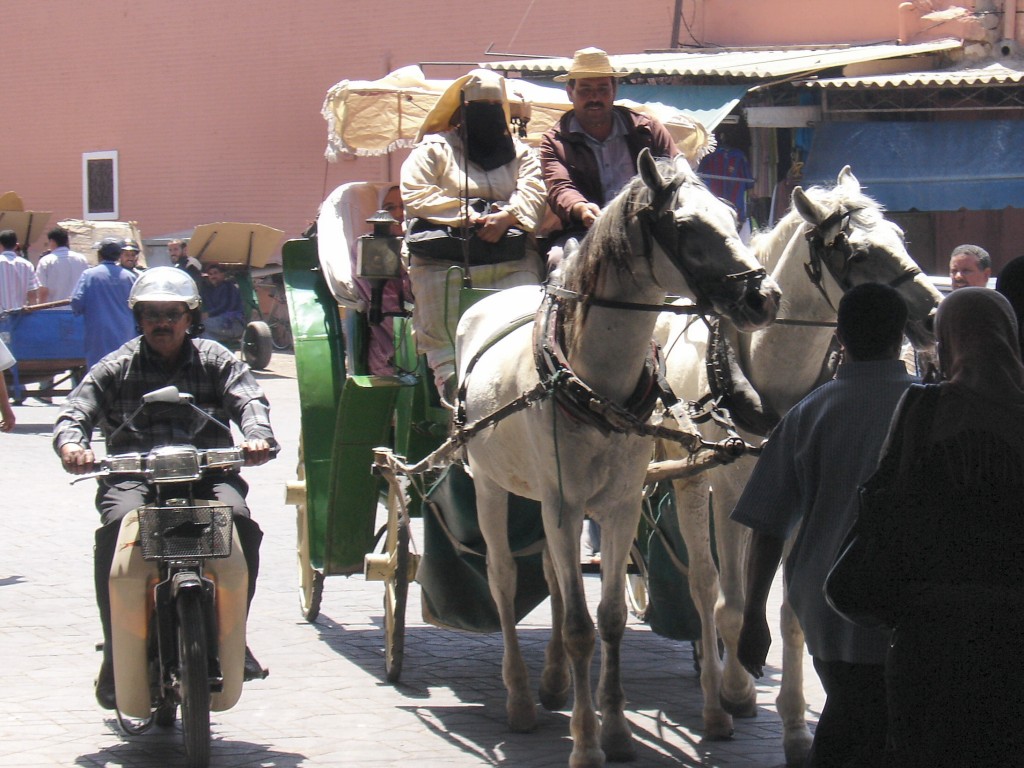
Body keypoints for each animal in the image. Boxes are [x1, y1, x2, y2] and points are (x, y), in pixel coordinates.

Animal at [456, 147, 782, 765]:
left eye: (732, 216)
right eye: (687, 228)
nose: (764, 297)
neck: (594, 379)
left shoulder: (619, 505)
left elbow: (605, 619)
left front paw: (615, 730)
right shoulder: (565, 507)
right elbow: (580, 627)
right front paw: (586, 743)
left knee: (552, 580)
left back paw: (553, 683)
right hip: (488, 482)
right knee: (503, 578)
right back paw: (520, 699)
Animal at [655, 166, 942, 765]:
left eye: (902, 238)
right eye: (857, 254)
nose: (933, 313)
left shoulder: (792, 494)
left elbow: (789, 614)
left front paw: (793, 726)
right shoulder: (728, 485)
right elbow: (729, 603)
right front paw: (735, 692)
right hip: (691, 478)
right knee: (703, 584)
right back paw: (716, 700)